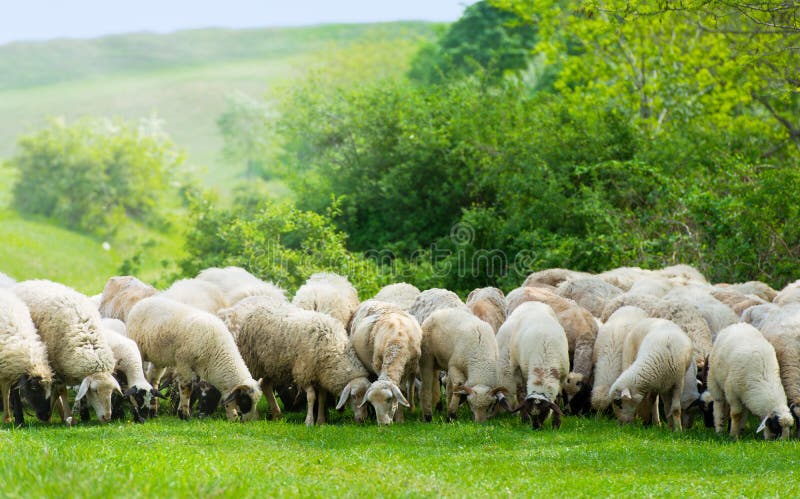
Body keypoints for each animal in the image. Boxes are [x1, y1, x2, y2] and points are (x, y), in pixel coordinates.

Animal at [13, 280, 119, 424]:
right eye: (95, 390)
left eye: (111, 392)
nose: (107, 418)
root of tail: (27, 281)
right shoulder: (57, 369)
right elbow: (61, 391)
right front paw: (68, 417)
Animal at [126, 296, 262, 422]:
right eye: (245, 400)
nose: (248, 421)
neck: (217, 352)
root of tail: (143, 301)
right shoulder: (183, 362)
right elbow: (186, 388)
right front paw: (184, 415)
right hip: (138, 347)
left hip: (159, 357)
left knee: (153, 379)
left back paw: (154, 409)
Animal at [234, 300, 372, 426]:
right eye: (354, 396)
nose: (363, 419)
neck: (333, 348)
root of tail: (258, 308)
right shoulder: (304, 371)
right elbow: (311, 396)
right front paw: (309, 421)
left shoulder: (321, 375)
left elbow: (322, 398)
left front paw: (321, 421)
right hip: (253, 362)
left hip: (273, 366)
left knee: (265, 385)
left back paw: (277, 414)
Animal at [496, 302, 572, 432]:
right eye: (530, 413)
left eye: (544, 413)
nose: (536, 428)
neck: (544, 369)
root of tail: (532, 302)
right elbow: (522, 395)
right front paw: (525, 419)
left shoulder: (562, 378)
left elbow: (557, 400)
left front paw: (556, 425)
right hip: (516, 366)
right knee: (520, 393)